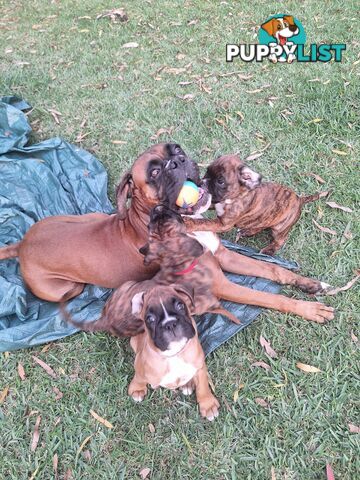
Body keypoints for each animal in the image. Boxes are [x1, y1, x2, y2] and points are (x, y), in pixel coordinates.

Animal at [184, 156, 328, 256]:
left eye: (220, 181)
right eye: (207, 171)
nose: (201, 183)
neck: (232, 198)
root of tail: (299, 199)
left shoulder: (223, 224)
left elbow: (204, 223)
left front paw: (188, 222)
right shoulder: (213, 203)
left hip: (280, 228)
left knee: (280, 240)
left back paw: (269, 250)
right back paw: (247, 231)